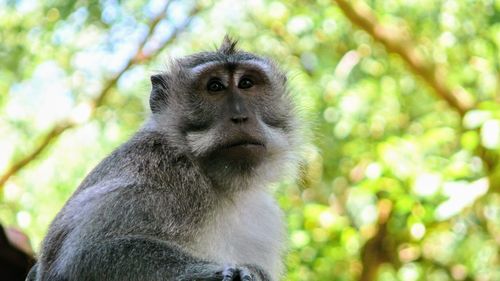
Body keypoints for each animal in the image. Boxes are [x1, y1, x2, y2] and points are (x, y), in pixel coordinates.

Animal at [27, 36, 298, 280]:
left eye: (246, 83)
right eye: (215, 87)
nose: (240, 116)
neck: (218, 183)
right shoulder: (154, 179)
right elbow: (81, 258)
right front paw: (221, 272)